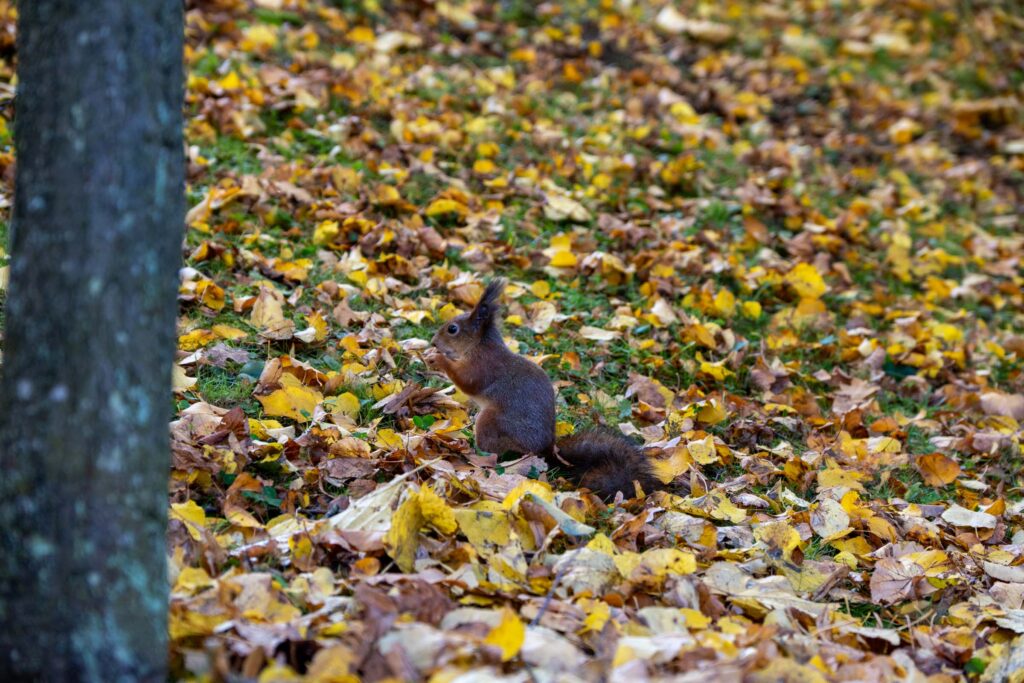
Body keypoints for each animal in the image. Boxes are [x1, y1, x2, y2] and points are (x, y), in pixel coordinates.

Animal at [426, 278, 658, 500]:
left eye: (452, 329)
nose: (434, 342)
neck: (479, 345)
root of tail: (545, 452)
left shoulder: (484, 366)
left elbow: (467, 382)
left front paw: (437, 359)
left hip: (494, 423)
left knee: (490, 452)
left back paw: (472, 453)